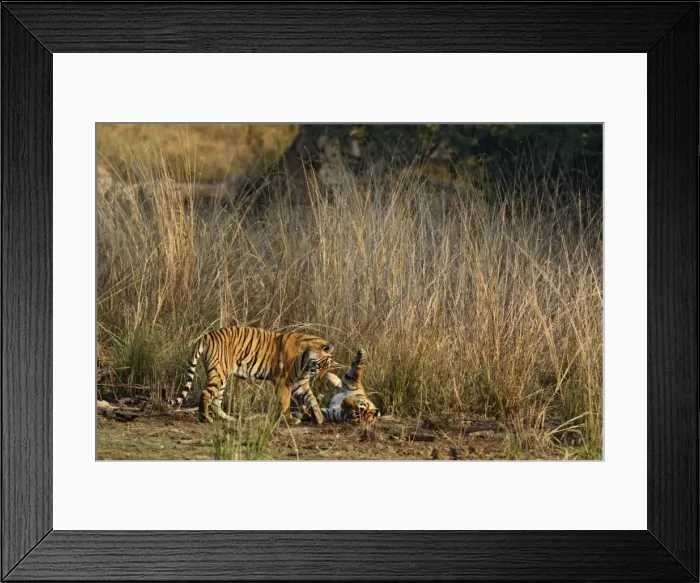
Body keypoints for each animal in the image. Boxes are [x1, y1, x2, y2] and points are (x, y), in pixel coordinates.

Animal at [174, 326, 335, 424]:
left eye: (327, 367)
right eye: (322, 366)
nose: (321, 378)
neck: (306, 361)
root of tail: (207, 335)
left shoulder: (300, 383)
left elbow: (312, 399)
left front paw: (320, 418)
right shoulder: (284, 381)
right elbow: (286, 402)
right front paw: (289, 419)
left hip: (222, 376)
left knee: (216, 401)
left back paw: (229, 419)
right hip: (219, 374)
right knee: (206, 394)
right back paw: (205, 418)